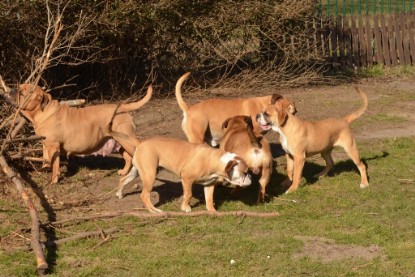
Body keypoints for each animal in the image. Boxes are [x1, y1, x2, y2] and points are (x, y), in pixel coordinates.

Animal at [4, 83, 154, 182]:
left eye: (22, 94)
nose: (12, 89)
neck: (42, 111)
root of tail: (121, 107)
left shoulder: (54, 146)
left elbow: (55, 164)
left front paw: (53, 179)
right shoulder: (46, 144)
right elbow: (46, 158)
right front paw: (44, 168)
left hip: (126, 139)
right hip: (119, 141)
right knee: (128, 158)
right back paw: (123, 172)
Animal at [109, 128, 252, 211]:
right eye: (244, 172)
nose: (250, 177)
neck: (215, 160)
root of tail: (141, 143)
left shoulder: (209, 184)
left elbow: (209, 198)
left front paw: (212, 211)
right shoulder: (187, 178)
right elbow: (188, 194)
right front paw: (185, 207)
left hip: (137, 171)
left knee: (123, 180)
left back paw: (119, 193)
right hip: (150, 175)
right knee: (144, 195)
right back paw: (154, 211)